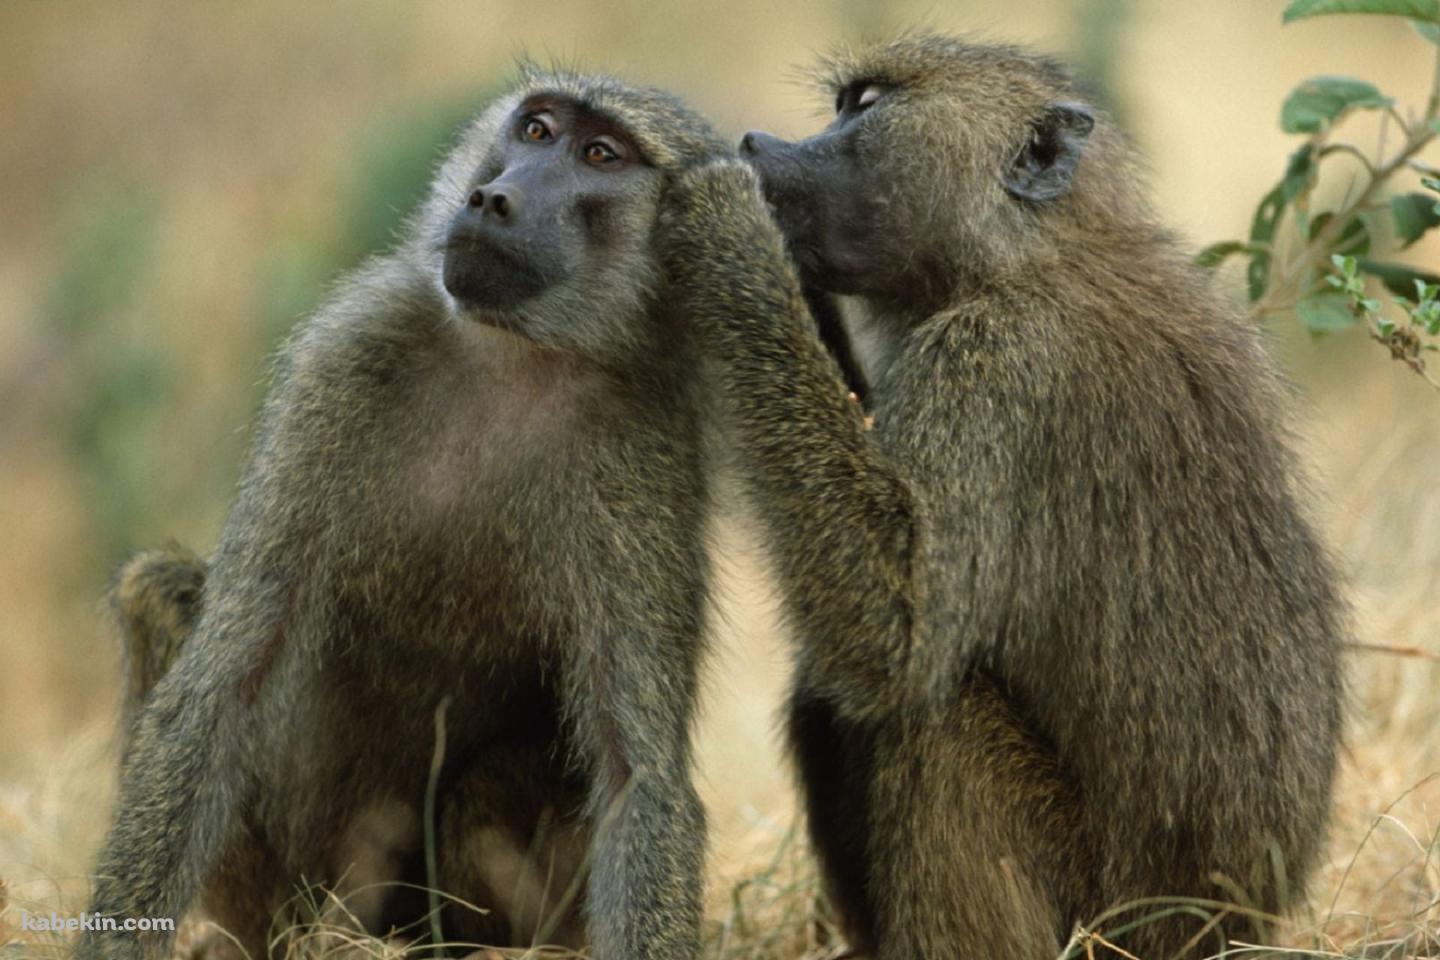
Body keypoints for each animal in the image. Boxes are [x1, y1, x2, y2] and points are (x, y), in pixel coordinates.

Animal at [76, 67, 732, 960]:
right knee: (158, 588)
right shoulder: (344, 358)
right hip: (290, 891)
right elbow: (219, 689)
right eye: (536, 130)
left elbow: (640, 778)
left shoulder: (648, 453)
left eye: (601, 155)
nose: (494, 198)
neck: (513, 359)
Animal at [658, 34, 1348, 959]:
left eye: (865, 106)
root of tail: (1229, 928)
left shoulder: (997, 366)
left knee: (930, 717)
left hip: (1099, 915)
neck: (1025, 254)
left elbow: (897, 636)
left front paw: (731, 227)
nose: (758, 144)